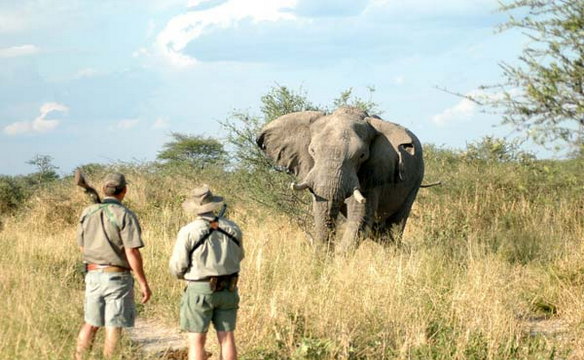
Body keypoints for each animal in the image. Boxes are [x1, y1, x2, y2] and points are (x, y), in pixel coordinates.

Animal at [256, 107, 424, 253]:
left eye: (362, 156)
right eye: (312, 151)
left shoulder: (371, 173)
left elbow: (360, 218)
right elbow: (321, 209)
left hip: (416, 180)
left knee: (394, 225)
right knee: (378, 232)